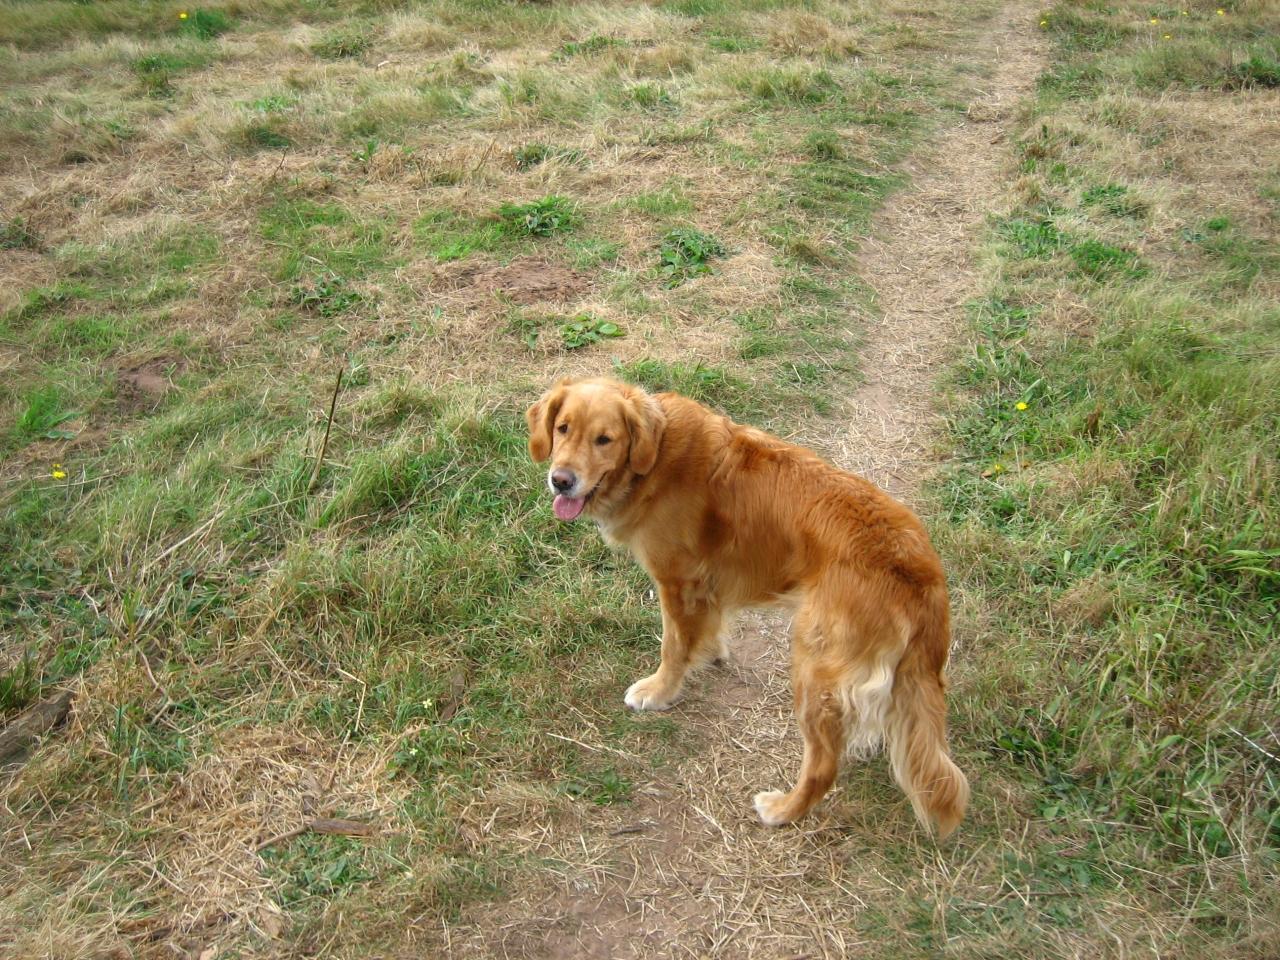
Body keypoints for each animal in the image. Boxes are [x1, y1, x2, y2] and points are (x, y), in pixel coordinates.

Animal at [525, 376, 969, 836]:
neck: (657, 456)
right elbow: (705, 631)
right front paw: (709, 654)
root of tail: (922, 572)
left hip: (814, 669)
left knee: (822, 766)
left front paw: (659, 691)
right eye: (562, 428)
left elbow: (672, 646)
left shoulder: (676, 582)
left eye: (605, 439)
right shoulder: (706, 586)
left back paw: (784, 809)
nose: (561, 481)